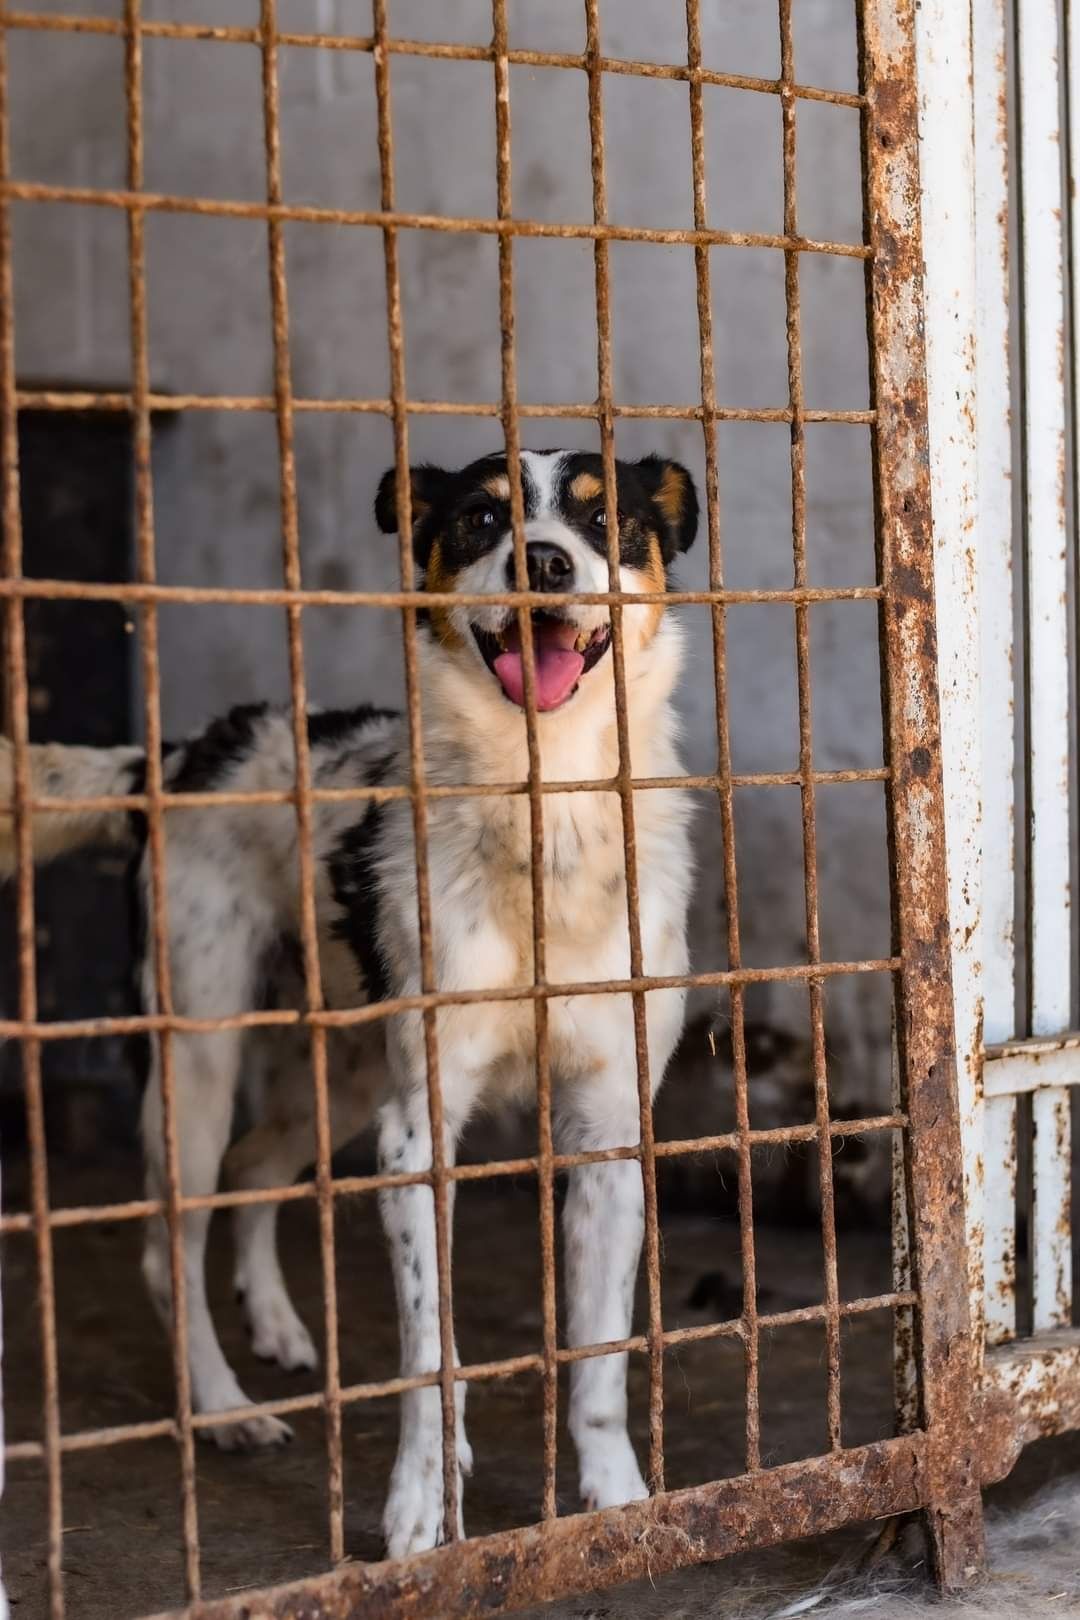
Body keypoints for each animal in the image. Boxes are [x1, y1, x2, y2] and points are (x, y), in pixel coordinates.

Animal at [0, 447, 702, 1555]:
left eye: (606, 521)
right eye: (478, 520)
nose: (544, 560)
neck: (542, 817)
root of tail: (183, 754)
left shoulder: (609, 1127)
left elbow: (598, 1356)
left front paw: (619, 1499)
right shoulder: (418, 1133)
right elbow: (430, 1350)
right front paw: (420, 1503)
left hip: (336, 1076)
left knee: (254, 1169)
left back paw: (280, 1328)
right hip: (199, 1057)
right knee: (169, 1244)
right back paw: (224, 1407)